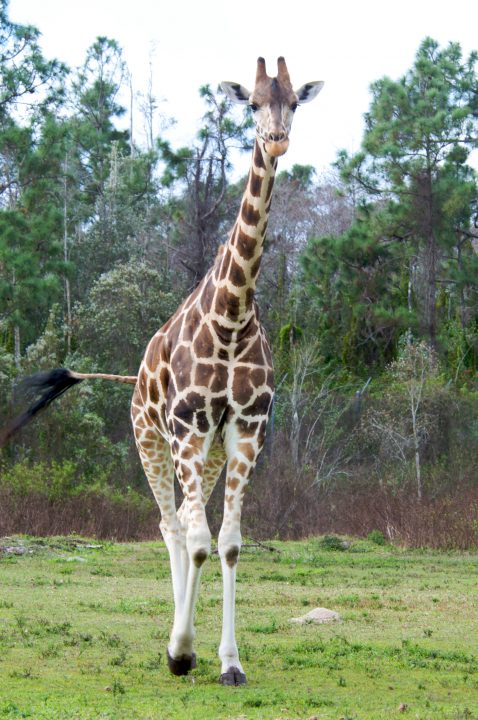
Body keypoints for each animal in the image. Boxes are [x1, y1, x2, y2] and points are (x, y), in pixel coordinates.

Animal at [0, 57, 323, 685]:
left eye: (295, 101)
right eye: (252, 103)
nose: (276, 139)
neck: (232, 314)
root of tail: (133, 379)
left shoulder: (246, 431)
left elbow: (228, 542)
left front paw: (229, 662)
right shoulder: (187, 427)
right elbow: (195, 539)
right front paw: (181, 650)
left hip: (207, 451)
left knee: (187, 528)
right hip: (152, 438)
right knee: (171, 527)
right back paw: (175, 638)